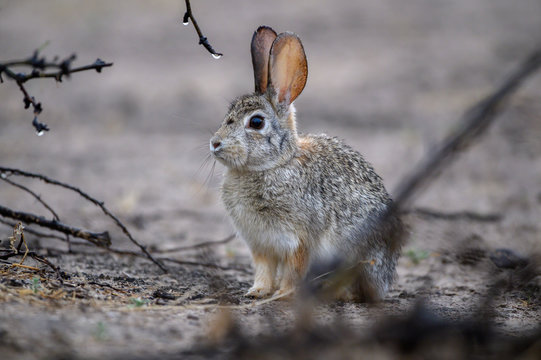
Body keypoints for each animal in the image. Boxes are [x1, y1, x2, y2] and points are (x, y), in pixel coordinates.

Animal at [209, 26, 402, 300]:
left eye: (256, 122)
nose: (215, 143)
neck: (274, 164)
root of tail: (385, 280)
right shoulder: (261, 245)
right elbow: (263, 270)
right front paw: (257, 292)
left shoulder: (297, 240)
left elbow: (294, 269)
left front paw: (283, 294)